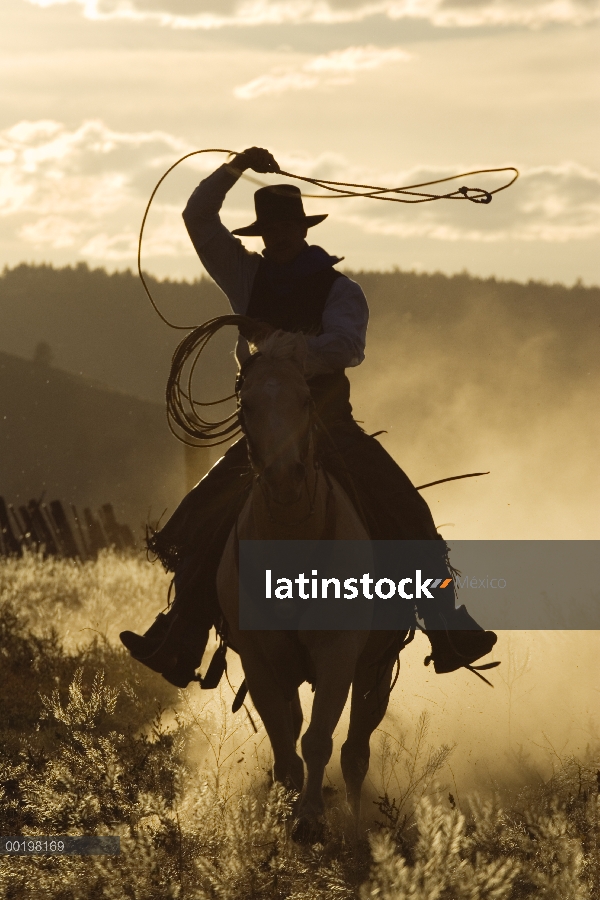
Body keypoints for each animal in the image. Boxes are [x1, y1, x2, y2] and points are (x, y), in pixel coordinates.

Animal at [216, 332, 408, 844]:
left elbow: (319, 739)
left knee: (356, 752)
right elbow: (285, 750)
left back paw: (357, 825)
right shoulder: (258, 659)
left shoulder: (339, 651)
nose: (285, 477)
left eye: (305, 398)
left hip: (376, 668)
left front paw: (309, 818)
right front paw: (286, 812)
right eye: (246, 404)